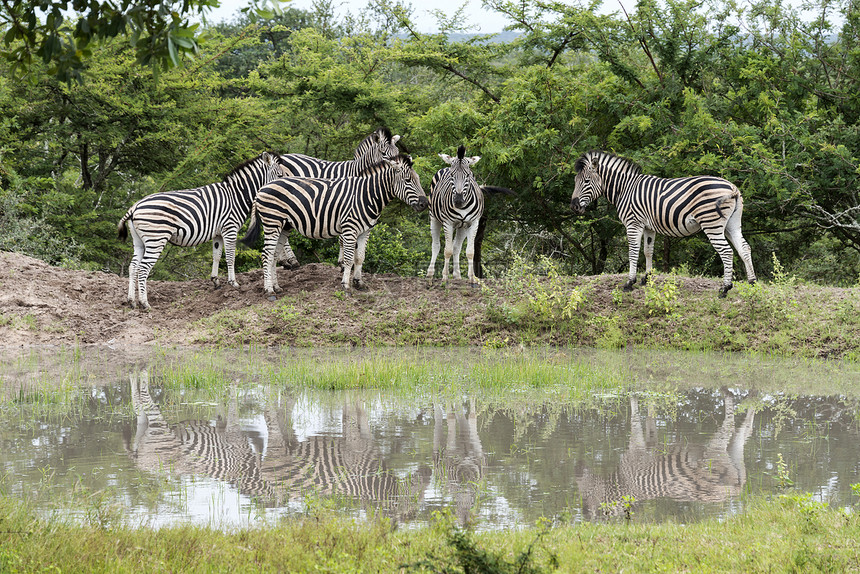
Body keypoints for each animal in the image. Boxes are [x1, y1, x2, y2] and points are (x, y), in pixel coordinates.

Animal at [116, 150, 286, 310]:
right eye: (279, 175)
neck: (236, 195)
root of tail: (134, 207)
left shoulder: (218, 233)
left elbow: (216, 256)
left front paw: (216, 281)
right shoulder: (230, 228)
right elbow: (230, 257)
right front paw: (233, 283)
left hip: (139, 242)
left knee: (133, 267)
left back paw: (131, 301)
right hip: (156, 239)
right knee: (143, 268)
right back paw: (145, 303)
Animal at [242, 153, 430, 294]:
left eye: (418, 180)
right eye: (407, 180)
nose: (425, 204)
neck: (367, 194)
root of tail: (262, 188)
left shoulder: (365, 230)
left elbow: (360, 257)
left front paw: (359, 283)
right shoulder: (350, 228)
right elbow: (348, 259)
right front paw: (346, 286)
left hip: (284, 226)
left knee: (274, 255)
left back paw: (276, 287)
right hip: (272, 222)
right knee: (266, 254)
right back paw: (269, 290)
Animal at [276, 128, 404, 270]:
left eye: (397, 152)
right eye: (383, 153)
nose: (398, 168)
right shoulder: (345, 206)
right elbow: (343, 238)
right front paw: (343, 263)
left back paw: (285, 260)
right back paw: (289, 260)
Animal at [576, 151, 756, 296]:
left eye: (586, 181)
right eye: (576, 181)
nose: (573, 206)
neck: (625, 188)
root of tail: (732, 187)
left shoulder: (633, 223)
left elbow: (633, 252)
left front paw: (630, 282)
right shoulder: (648, 227)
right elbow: (648, 251)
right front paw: (647, 278)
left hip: (711, 223)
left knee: (726, 251)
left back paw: (725, 288)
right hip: (731, 224)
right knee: (744, 248)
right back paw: (752, 282)